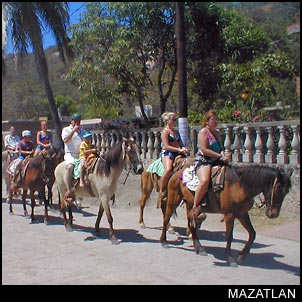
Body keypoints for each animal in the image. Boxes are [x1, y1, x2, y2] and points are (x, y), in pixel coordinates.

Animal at [160, 164, 292, 266]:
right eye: (279, 187)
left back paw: (199, 248)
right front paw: (230, 258)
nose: (274, 214)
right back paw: (164, 242)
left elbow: (252, 234)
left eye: (287, 191)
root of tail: (176, 173)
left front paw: (242, 256)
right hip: (173, 200)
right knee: (166, 219)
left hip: (190, 204)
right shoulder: (229, 214)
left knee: (191, 225)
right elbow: (229, 236)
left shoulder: (242, 214)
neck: (240, 185)